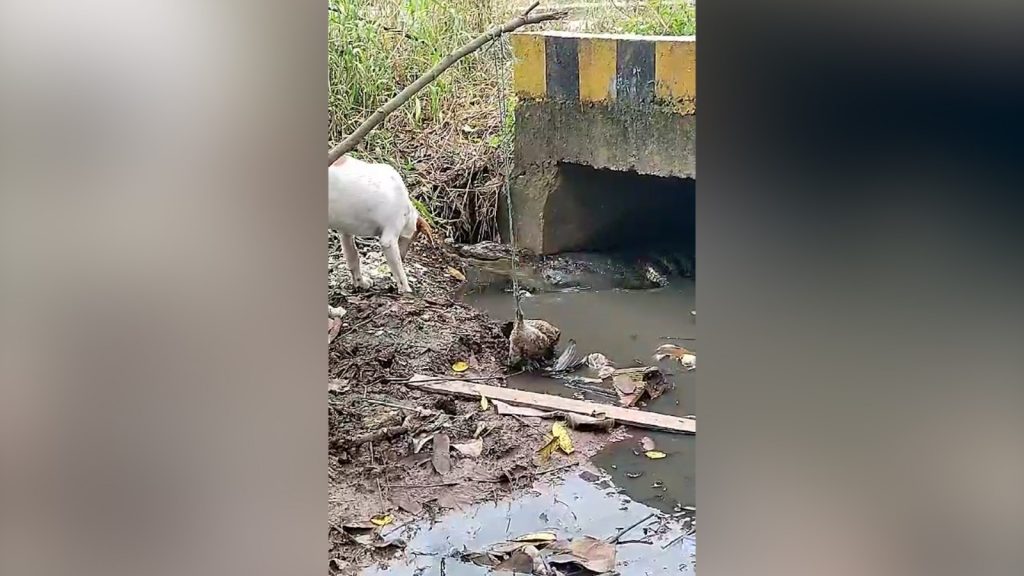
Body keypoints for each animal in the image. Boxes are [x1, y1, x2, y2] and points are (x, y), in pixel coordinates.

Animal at [327, 154, 432, 293]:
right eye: (412, 240)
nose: (403, 257)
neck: (407, 211)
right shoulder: (389, 241)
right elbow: (400, 273)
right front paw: (406, 289)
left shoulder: (346, 234)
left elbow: (353, 258)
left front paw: (360, 282)